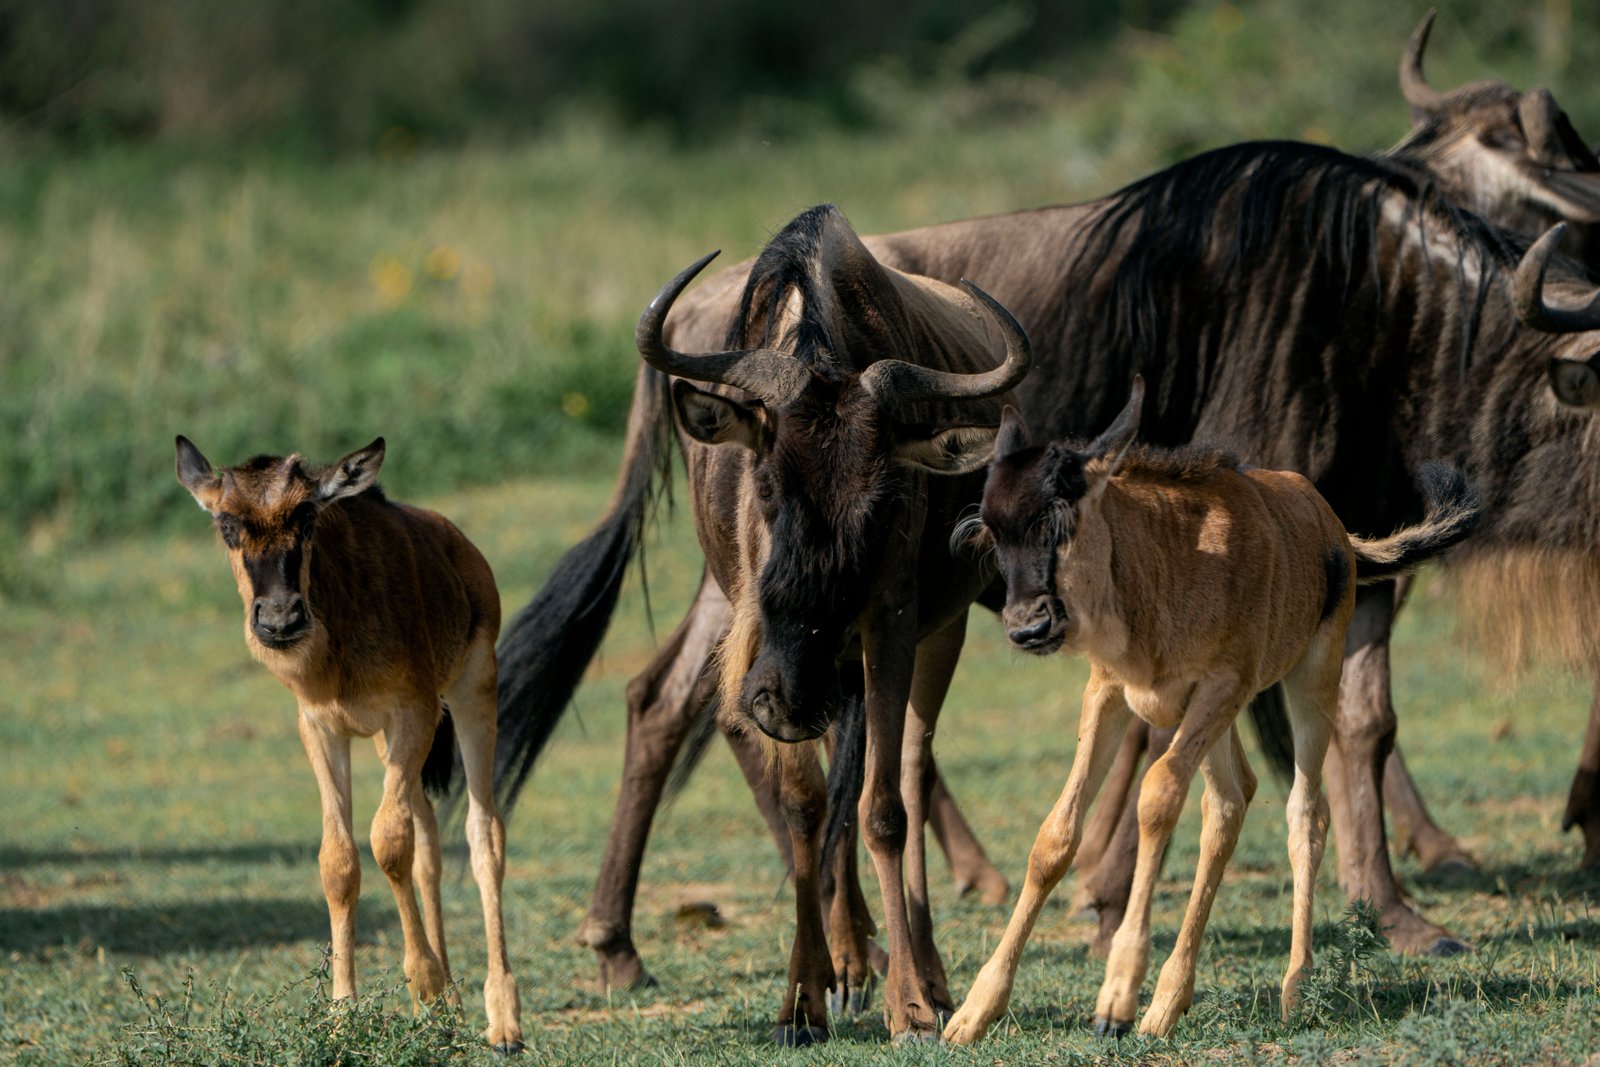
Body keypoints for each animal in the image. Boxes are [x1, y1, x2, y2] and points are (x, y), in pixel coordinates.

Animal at [174, 436, 524, 1054]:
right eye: (226, 524)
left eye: (308, 516)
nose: (280, 618)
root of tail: (463, 549)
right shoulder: (322, 728)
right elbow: (339, 861)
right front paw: (344, 1016)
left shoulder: (412, 711)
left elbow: (388, 843)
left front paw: (425, 983)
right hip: (392, 741)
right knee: (429, 837)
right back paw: (453, 1005)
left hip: (473, 691)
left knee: (483, 832)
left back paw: (502, 1019)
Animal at [940, 379, 1480, 1042]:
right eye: (993, 530)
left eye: (1058, 519)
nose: (1027, 628)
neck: (1165, 562)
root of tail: (1337, 534)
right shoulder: (1110, 692)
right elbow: (1056, 835)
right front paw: (974, 1010)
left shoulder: (1219, 686)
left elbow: (1158, 798)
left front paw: (1117, 998)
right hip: (1215, 719)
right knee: (1231, 798)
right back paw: (1173, 1000)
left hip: (1308, 685)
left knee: (1305, 812)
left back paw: (1291, 990)